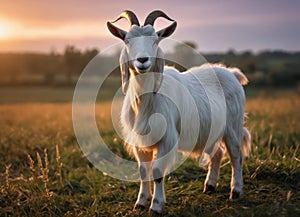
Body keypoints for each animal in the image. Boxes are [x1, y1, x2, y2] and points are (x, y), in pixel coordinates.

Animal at [106, 9, 252, 214]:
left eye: (155, 40)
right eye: (127, 40)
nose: (142, 60)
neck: (148, 101)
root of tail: (232, 74)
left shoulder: (167, 139)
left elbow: (157, 171)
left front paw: (156, 206)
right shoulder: (140, 142)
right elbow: (143, 171)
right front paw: (141, 202)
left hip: (233, 126)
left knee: (235, 155)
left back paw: (236, 191)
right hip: (212, 130)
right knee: (217, 153)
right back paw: (210, 186)